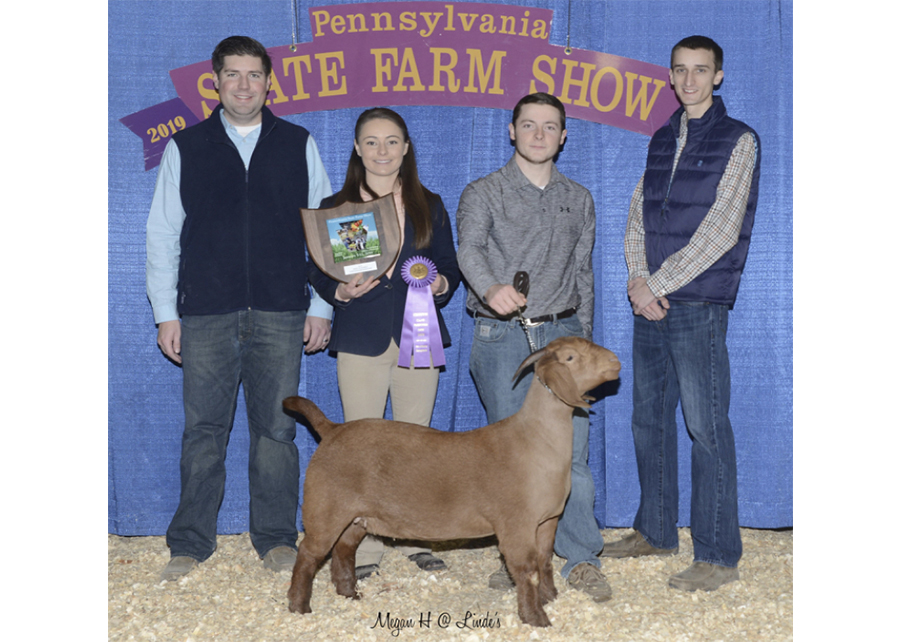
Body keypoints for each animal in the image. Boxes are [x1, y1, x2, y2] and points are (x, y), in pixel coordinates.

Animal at [282, 336, 620, 627]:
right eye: (571, 357)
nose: (616, 361)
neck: (535, 439)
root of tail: (332, 429)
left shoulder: (547, 520)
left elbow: (545, 560)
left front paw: (550, 597)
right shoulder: (517, 523)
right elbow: (527, 569)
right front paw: (536, 617)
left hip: (356, 517)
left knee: (343, 550)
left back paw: (349, 594)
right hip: (325, 509)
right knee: (309, 554)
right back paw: (299, 607)